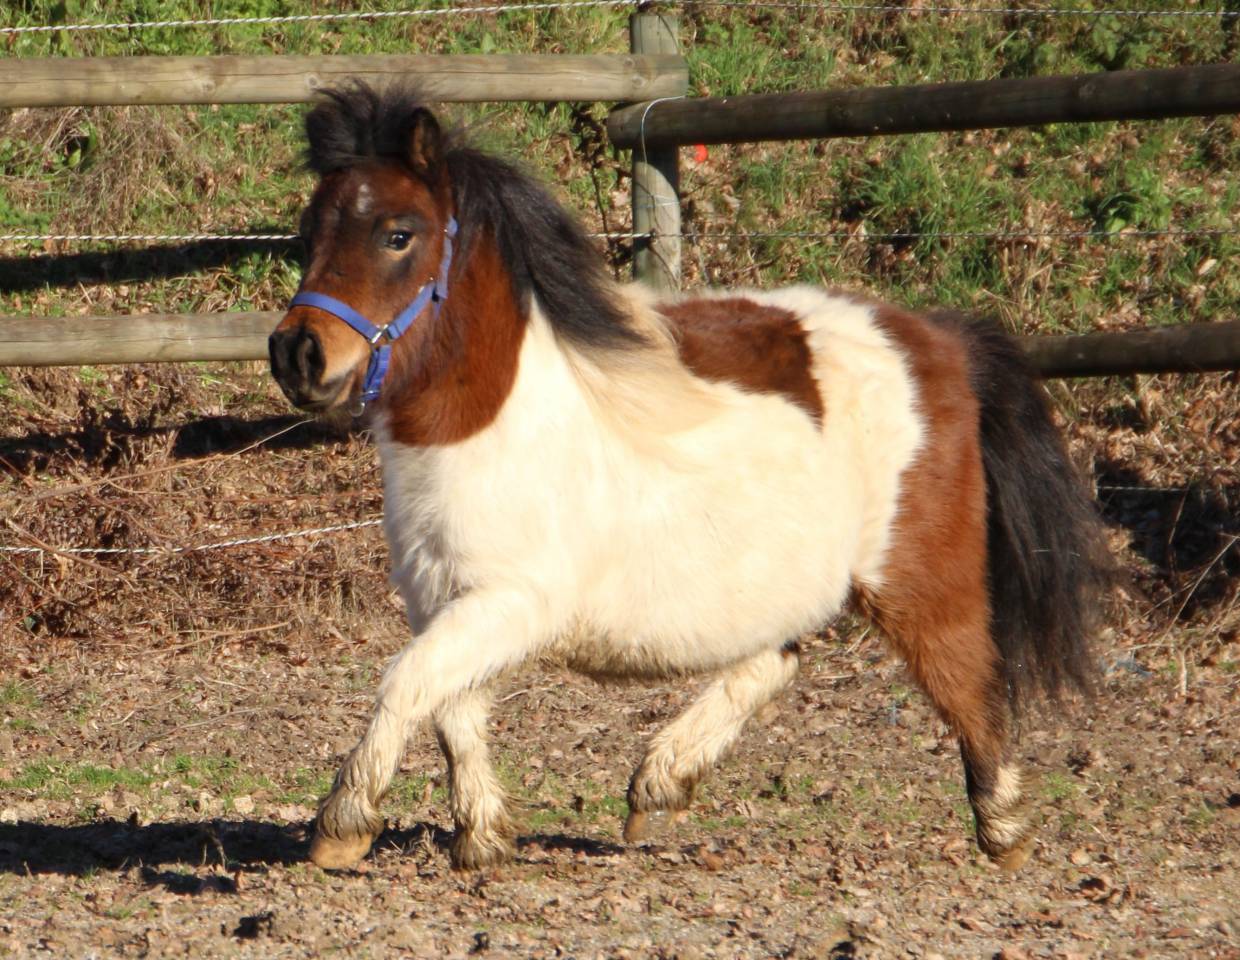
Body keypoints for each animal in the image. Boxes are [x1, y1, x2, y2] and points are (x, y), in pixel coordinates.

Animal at [268, 82, 1110, 874]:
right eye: (309, 233)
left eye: (397, 235)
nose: (297, 354)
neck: (489, 426)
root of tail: (941, 340)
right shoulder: (444, 600)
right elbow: (451, 709)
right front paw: (481, 836)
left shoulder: (513, 602)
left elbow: (407, 684)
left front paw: (343, 827)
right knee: (779, 659)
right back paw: (660, 781)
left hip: (920, 580)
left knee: (970, 682)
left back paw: (1005, 831)